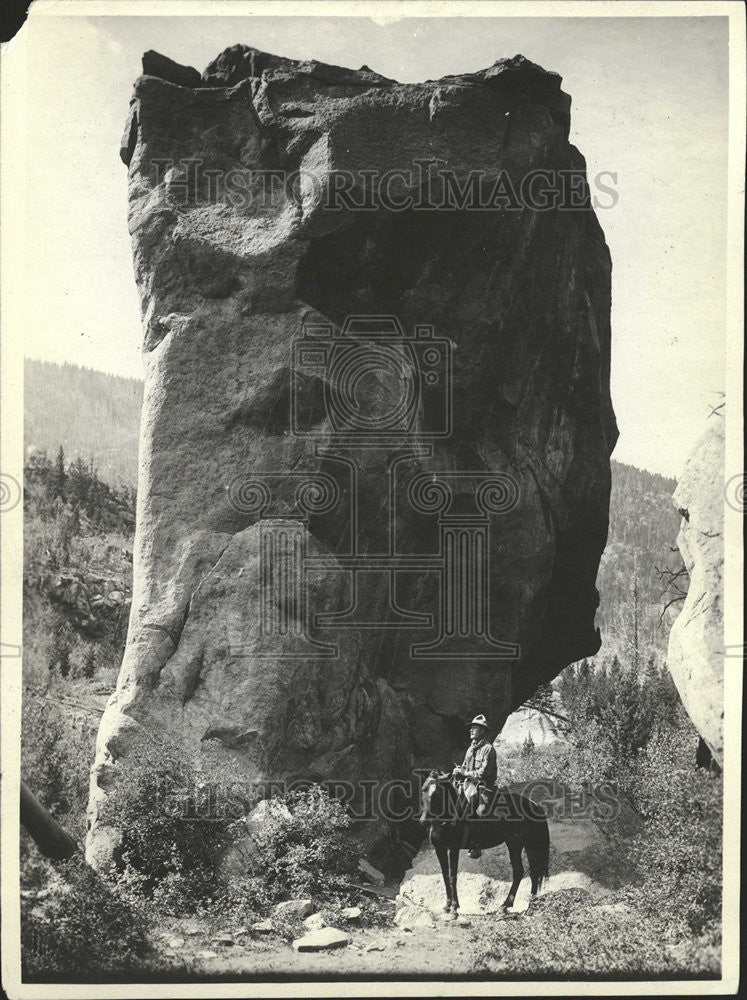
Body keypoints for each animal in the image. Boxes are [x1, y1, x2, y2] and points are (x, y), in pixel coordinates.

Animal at [418, 768, 552, 916]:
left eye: (437, 792)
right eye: (423, 789)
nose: (423, 821)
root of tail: (534, 805)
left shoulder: (452, 848)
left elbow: (453, 876)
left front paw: (454, 907)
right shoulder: (439, 849)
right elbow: (445, 876)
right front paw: (447, 906)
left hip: (530, 844)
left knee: (534, 872)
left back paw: (530, 905)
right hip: (514, 843)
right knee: (519, 872)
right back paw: (505, 905)